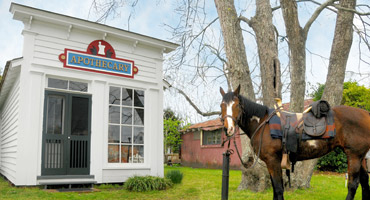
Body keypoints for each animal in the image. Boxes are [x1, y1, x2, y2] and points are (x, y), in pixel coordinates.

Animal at [220, 85, 370, 200]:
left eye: (237, 105)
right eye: (222, 105)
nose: (229, 129)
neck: (263, 123)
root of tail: (366, 114)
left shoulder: (272, 160)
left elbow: (278, 189)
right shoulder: (272, 162)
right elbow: (275, 189)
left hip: (354, 155)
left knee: (353, 185)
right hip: (360, 157)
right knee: (364, 182)